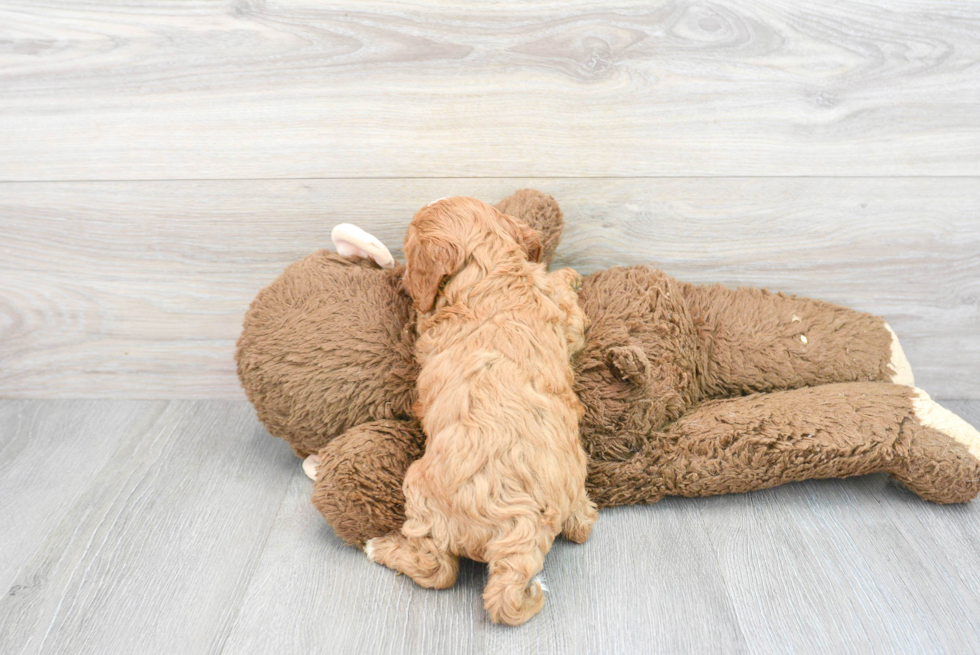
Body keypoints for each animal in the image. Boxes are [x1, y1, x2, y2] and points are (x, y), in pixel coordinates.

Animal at [366, 197, 596, 628]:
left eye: (408, 248)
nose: (400, 275)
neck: (493, 272)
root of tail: (521, 525)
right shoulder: (562, 317)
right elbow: (566, 303)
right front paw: (570, 275)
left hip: (421, 492)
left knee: (437, 569)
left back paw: (380, 547)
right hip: (574, 479)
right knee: (582, 528)